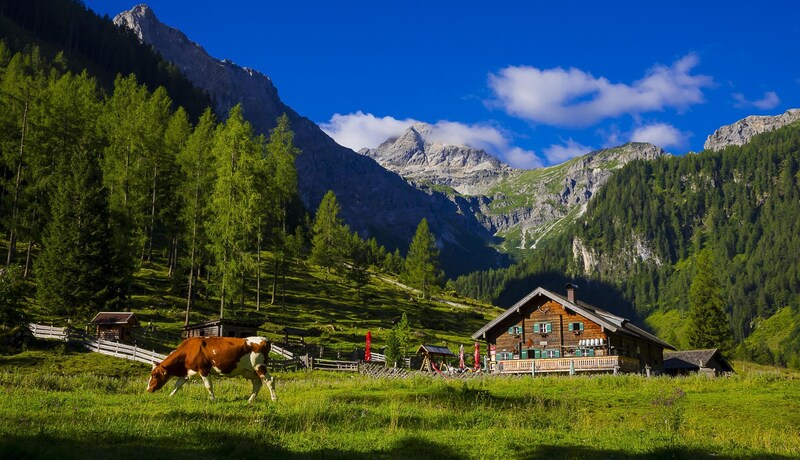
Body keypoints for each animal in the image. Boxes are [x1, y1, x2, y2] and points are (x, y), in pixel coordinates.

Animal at [147, 334, 278, 402]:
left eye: (154, 375)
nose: (148, 389)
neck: (189, 351)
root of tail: (264, 339)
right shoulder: (188, 372)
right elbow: (177, 385)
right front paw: (170, 396)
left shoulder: (203, 369)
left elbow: (208, 385)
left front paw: (213, 399)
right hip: (250, 371)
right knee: (257, 383)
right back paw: (250, 400)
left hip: (260, 366)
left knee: (269, 381)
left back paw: (274, 398)